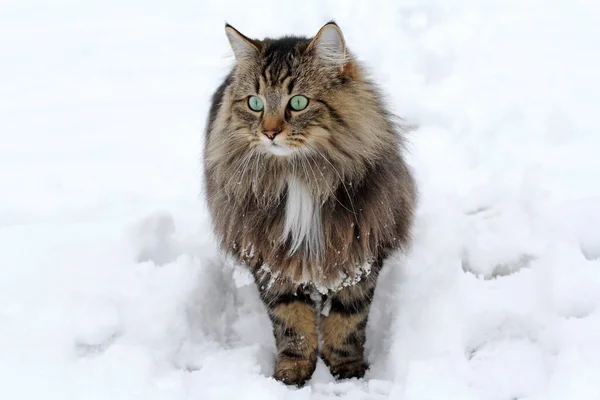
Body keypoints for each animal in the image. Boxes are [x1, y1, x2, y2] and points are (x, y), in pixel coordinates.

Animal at [204, 20, 414, 386]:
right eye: (255, 103)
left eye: (298, 102)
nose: (270, 133)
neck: (298, 174)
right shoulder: (271, 257)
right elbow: (292, 321)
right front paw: (293, 371)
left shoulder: (359, 248)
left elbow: (348, 318)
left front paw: (347, 370)